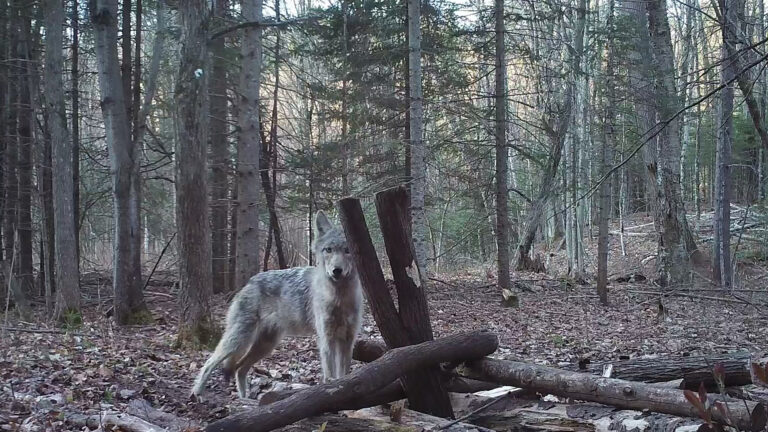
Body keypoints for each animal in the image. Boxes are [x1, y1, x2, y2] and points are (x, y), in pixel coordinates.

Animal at [189, 211, 364, 400]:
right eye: (329, 250)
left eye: (347, 250)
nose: (336, 271)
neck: (339, 298)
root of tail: (248, 282)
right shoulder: (327, 339)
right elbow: (330, 375)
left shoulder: (347, 340)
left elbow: (344, 374)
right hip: (240, 340)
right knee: (210, 362)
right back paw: (197, 393)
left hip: (265, 345)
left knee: (240, 369)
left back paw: (245, 400)